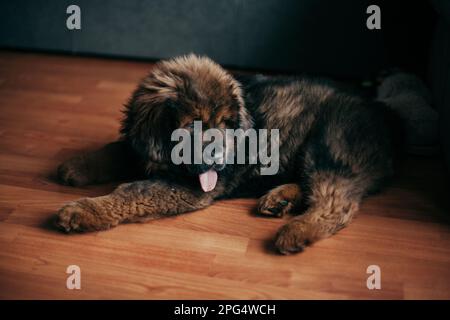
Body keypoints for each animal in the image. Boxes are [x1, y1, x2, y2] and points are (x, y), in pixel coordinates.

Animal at [55, 55, 400, 255]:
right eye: (192, 126)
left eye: (225, 124)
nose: (220, 159)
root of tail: (385, 115)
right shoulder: (143, 146)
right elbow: (116, 150)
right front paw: (76, 166)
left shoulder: (189, 189)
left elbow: (133, 191)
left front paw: (83, 211)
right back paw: (279, 199)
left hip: (328, 146)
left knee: (336, 202)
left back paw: (295, 231)